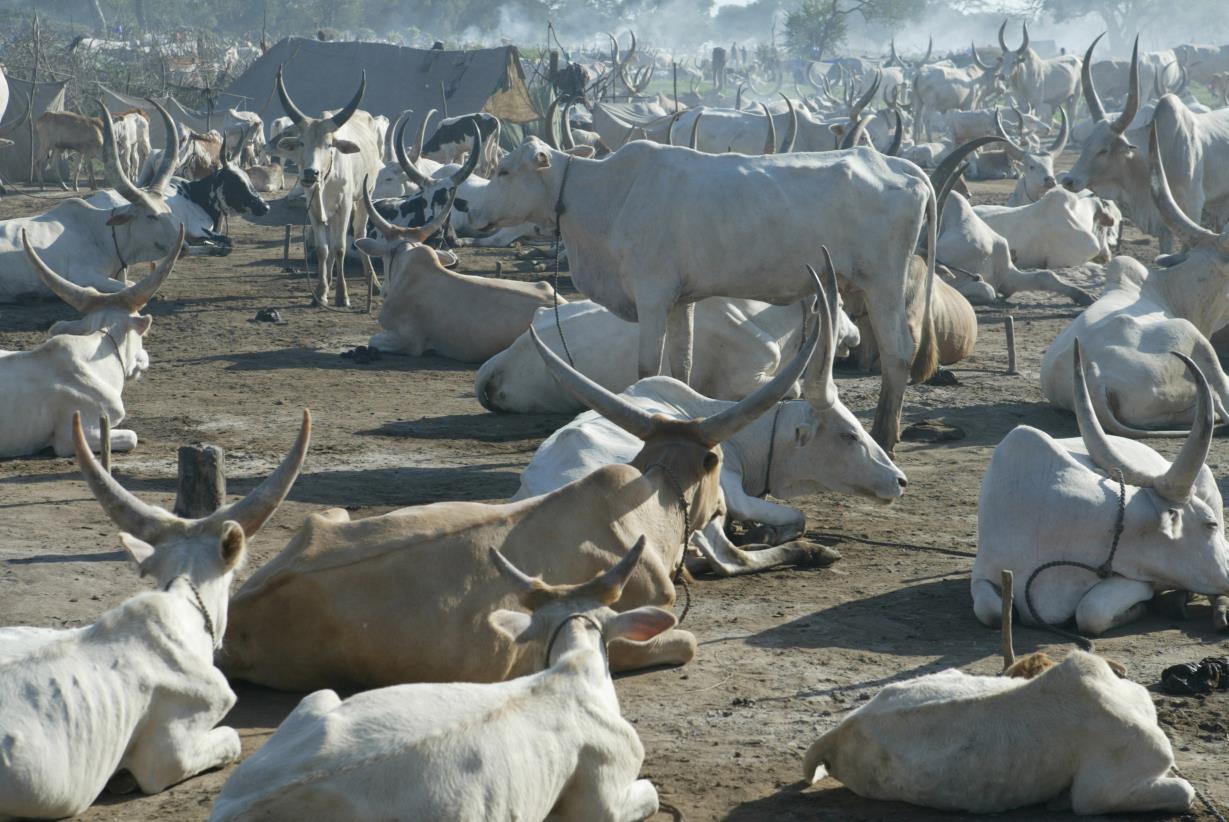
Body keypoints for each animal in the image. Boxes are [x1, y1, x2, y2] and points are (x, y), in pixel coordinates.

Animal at [0, 99, 214, 301]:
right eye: (151, 216)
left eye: (169, 212)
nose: (184, 247)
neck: (101, 235)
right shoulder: (82, 276)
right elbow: (124, 289)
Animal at [219, 295, 819, 691]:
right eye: (715, 464)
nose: (723, 513)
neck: (641, 511)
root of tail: (237, 611)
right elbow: (686, 638)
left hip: (329, 517)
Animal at [274, 68, 382, 306]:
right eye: (302, 142)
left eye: (329, 144)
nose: (310, 173)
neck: (326, 180)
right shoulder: (313, 208)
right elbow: (323, 249)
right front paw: (321, 292)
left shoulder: (345, 206)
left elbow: (340, 248)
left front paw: (342, 295)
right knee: (331, 242)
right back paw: (328, 280)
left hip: (364, 197)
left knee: (358, 234)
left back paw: (374, 282)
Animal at [465, 137, 940, 454]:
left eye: (504, 170)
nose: (471, 211)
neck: (609, 196)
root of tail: (898, 165)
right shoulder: (681, 300)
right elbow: (682, 366)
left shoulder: (653, 295)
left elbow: (647, 367)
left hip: (883, 282)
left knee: (898, 351)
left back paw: (884, 436)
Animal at [978, 337, 1228, 636]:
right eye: (1210, 524)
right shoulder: (983, 576)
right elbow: (992, 613)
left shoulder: (1135, 578)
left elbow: (1091, 612)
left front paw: (1140, 607)